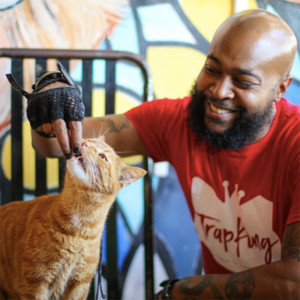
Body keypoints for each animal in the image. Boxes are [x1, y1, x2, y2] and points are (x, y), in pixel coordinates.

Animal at [0, 137, 146, 300]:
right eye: (90, 140)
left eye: (103, 157)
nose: (84, 143)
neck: (79, 229)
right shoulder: (35, 282)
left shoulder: (79, 285)